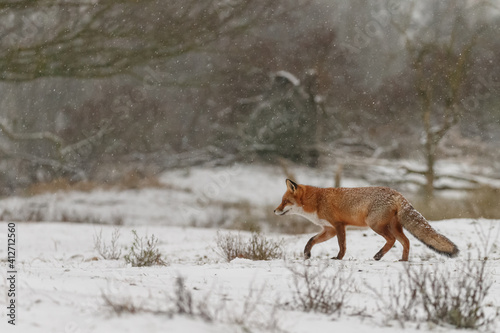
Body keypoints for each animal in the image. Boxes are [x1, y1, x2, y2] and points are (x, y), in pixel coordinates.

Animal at [276, 178, 458, 260]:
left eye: (285, 201)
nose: (274, 210)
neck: (317, 202)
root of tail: (398, 194)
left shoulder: (339, 225)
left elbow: (342, 245)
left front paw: (338, 258)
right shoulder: (329, 229)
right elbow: (311, 240)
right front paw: (307, 253)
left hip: (375, 225)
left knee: (392, 240)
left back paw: (379, 255)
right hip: (393, 227)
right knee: (406, 241)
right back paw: (403, 260)